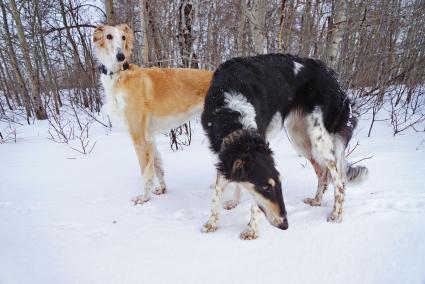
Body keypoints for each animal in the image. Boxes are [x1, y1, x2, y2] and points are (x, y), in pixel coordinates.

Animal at [93, 22, 212, 204]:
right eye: (109, 36)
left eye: (123, 37)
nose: (121, 56)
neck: (120, 74)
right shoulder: (150, 136)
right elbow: (157, 166)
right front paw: (162, 189)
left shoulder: (139, 138)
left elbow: (146, 172)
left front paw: (144, 198)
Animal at [200, 53, 366, 240]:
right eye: (266, 187)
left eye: (280, 183)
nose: (285, 225)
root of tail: (335, 79)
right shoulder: (225, 154)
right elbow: (220, 192)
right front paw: (213, 221)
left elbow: (253, 204)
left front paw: (252, 230)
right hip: (300, 136)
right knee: (322, 173)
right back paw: (316, 201)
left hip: (319, 138)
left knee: (339, 180)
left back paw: (336, 215)